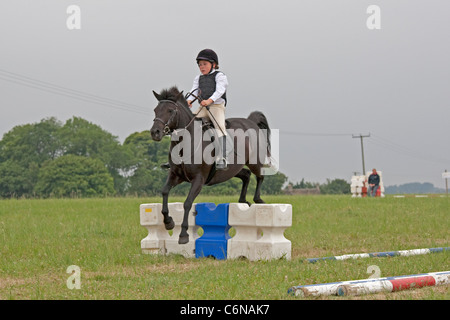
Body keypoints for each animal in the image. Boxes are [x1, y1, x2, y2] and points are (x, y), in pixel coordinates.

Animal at [150, 86, 270, 244]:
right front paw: (168, 222)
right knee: (246, 175)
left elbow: (187, 203)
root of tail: (250, 122)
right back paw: (243, 201)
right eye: (155, 110)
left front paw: (183, 234)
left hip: (254, 161)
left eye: (170, 110)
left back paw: (258, 199)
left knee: (260, 175)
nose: (155, 133)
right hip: (232, 169)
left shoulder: (198, 179)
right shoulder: (176, 175)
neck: (185, 142)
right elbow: (164, 191)